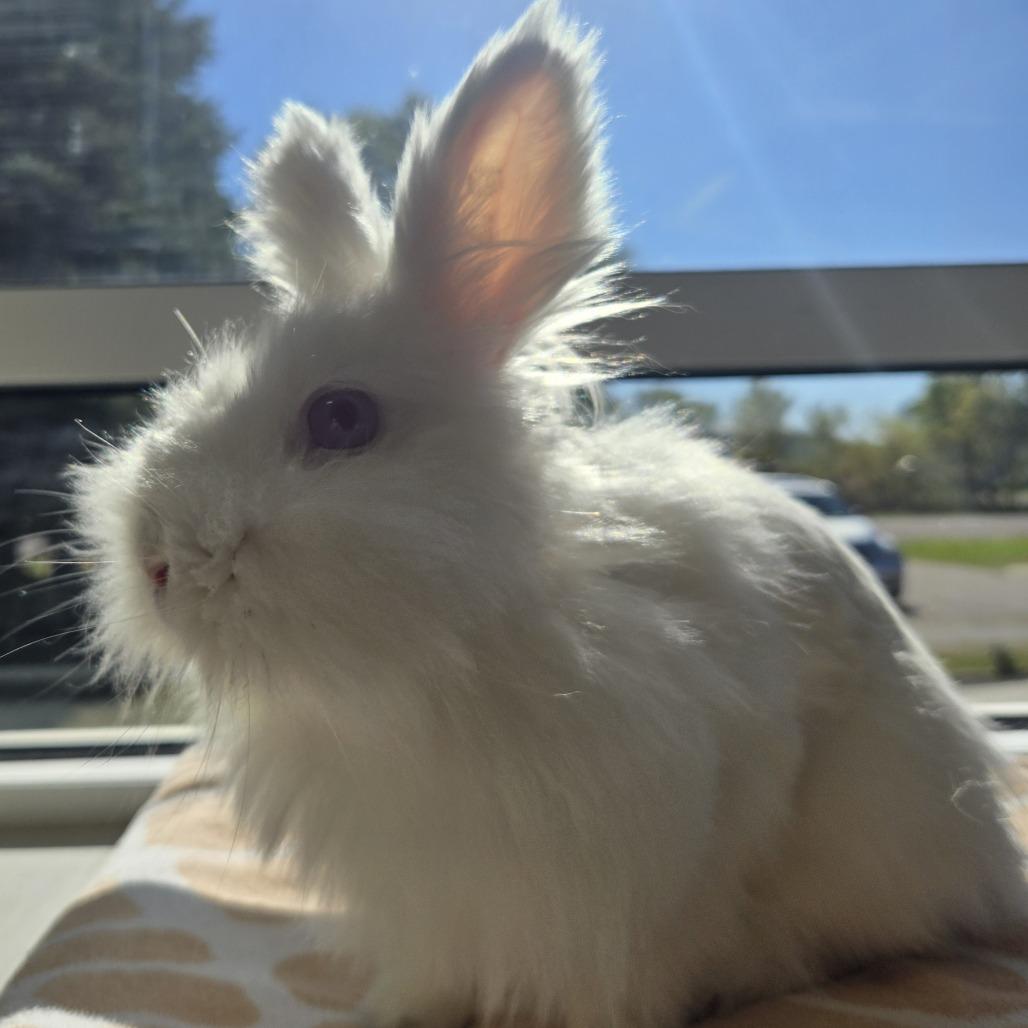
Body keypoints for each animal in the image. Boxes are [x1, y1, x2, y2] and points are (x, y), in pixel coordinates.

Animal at [70, 2, 1027, 1026]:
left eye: (341, 418)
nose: (157, 560)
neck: (441, 656)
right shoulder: (436, 906)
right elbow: (430, 979)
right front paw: (394, 1014)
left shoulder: (641, 886)